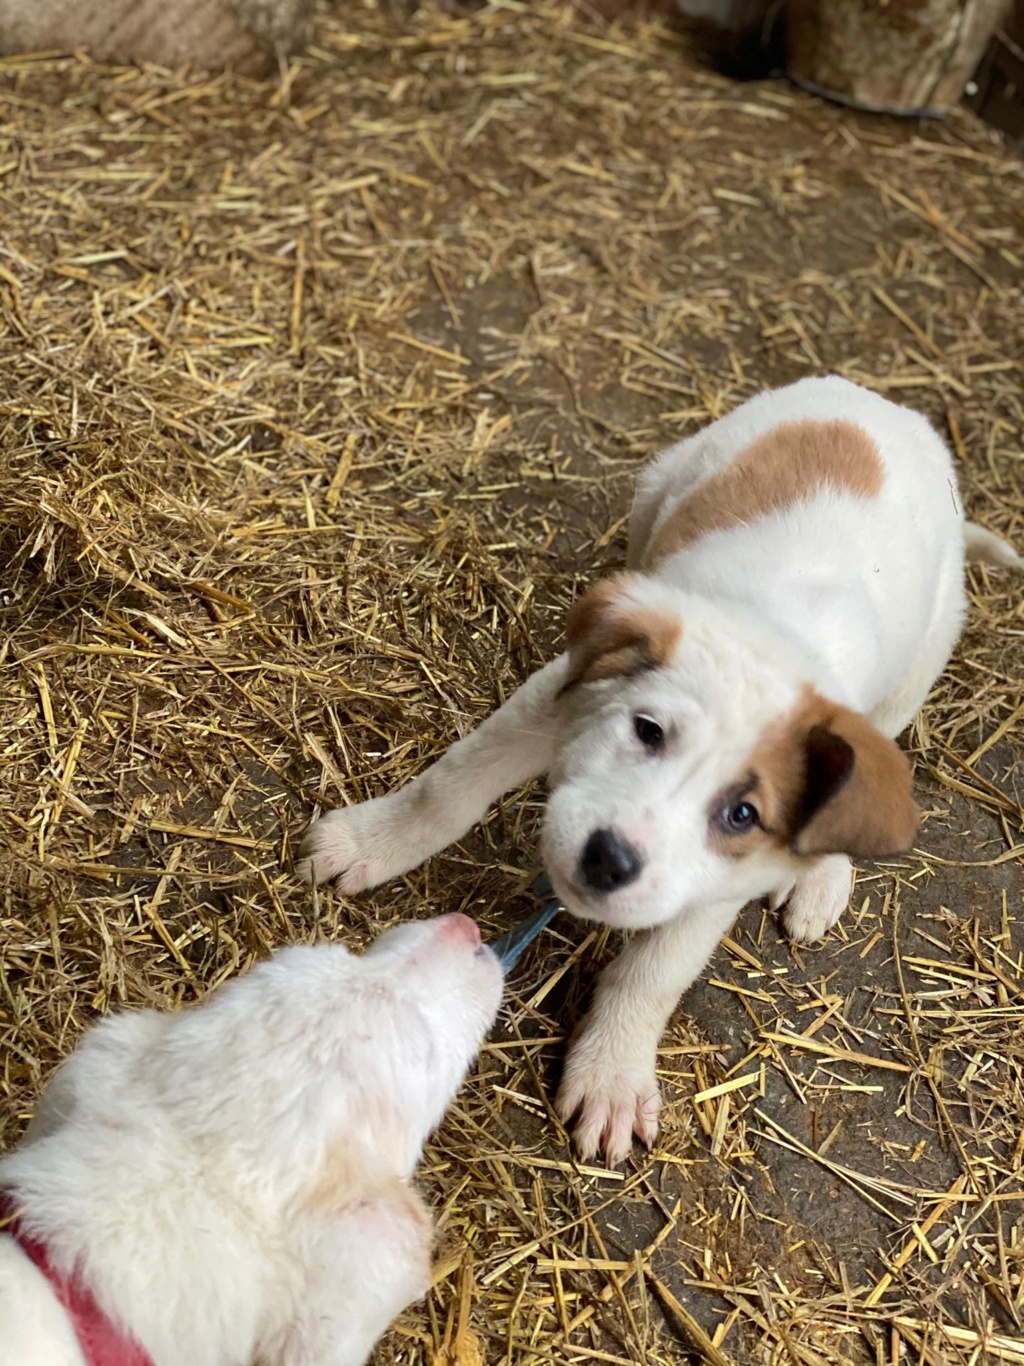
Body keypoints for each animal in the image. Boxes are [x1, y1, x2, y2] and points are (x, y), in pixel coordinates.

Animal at [296, 377, 1021, 1163]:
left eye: (741, 814)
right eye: (646, 731)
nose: (609, 861)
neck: (773, 639)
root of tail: (884, 404)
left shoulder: (723, 880)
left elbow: (654, 972)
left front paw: (613, 1073)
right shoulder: (554, 700)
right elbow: (448, 788)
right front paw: (369, 844)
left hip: (921, 662)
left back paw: (823, 876)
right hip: (659, 484)